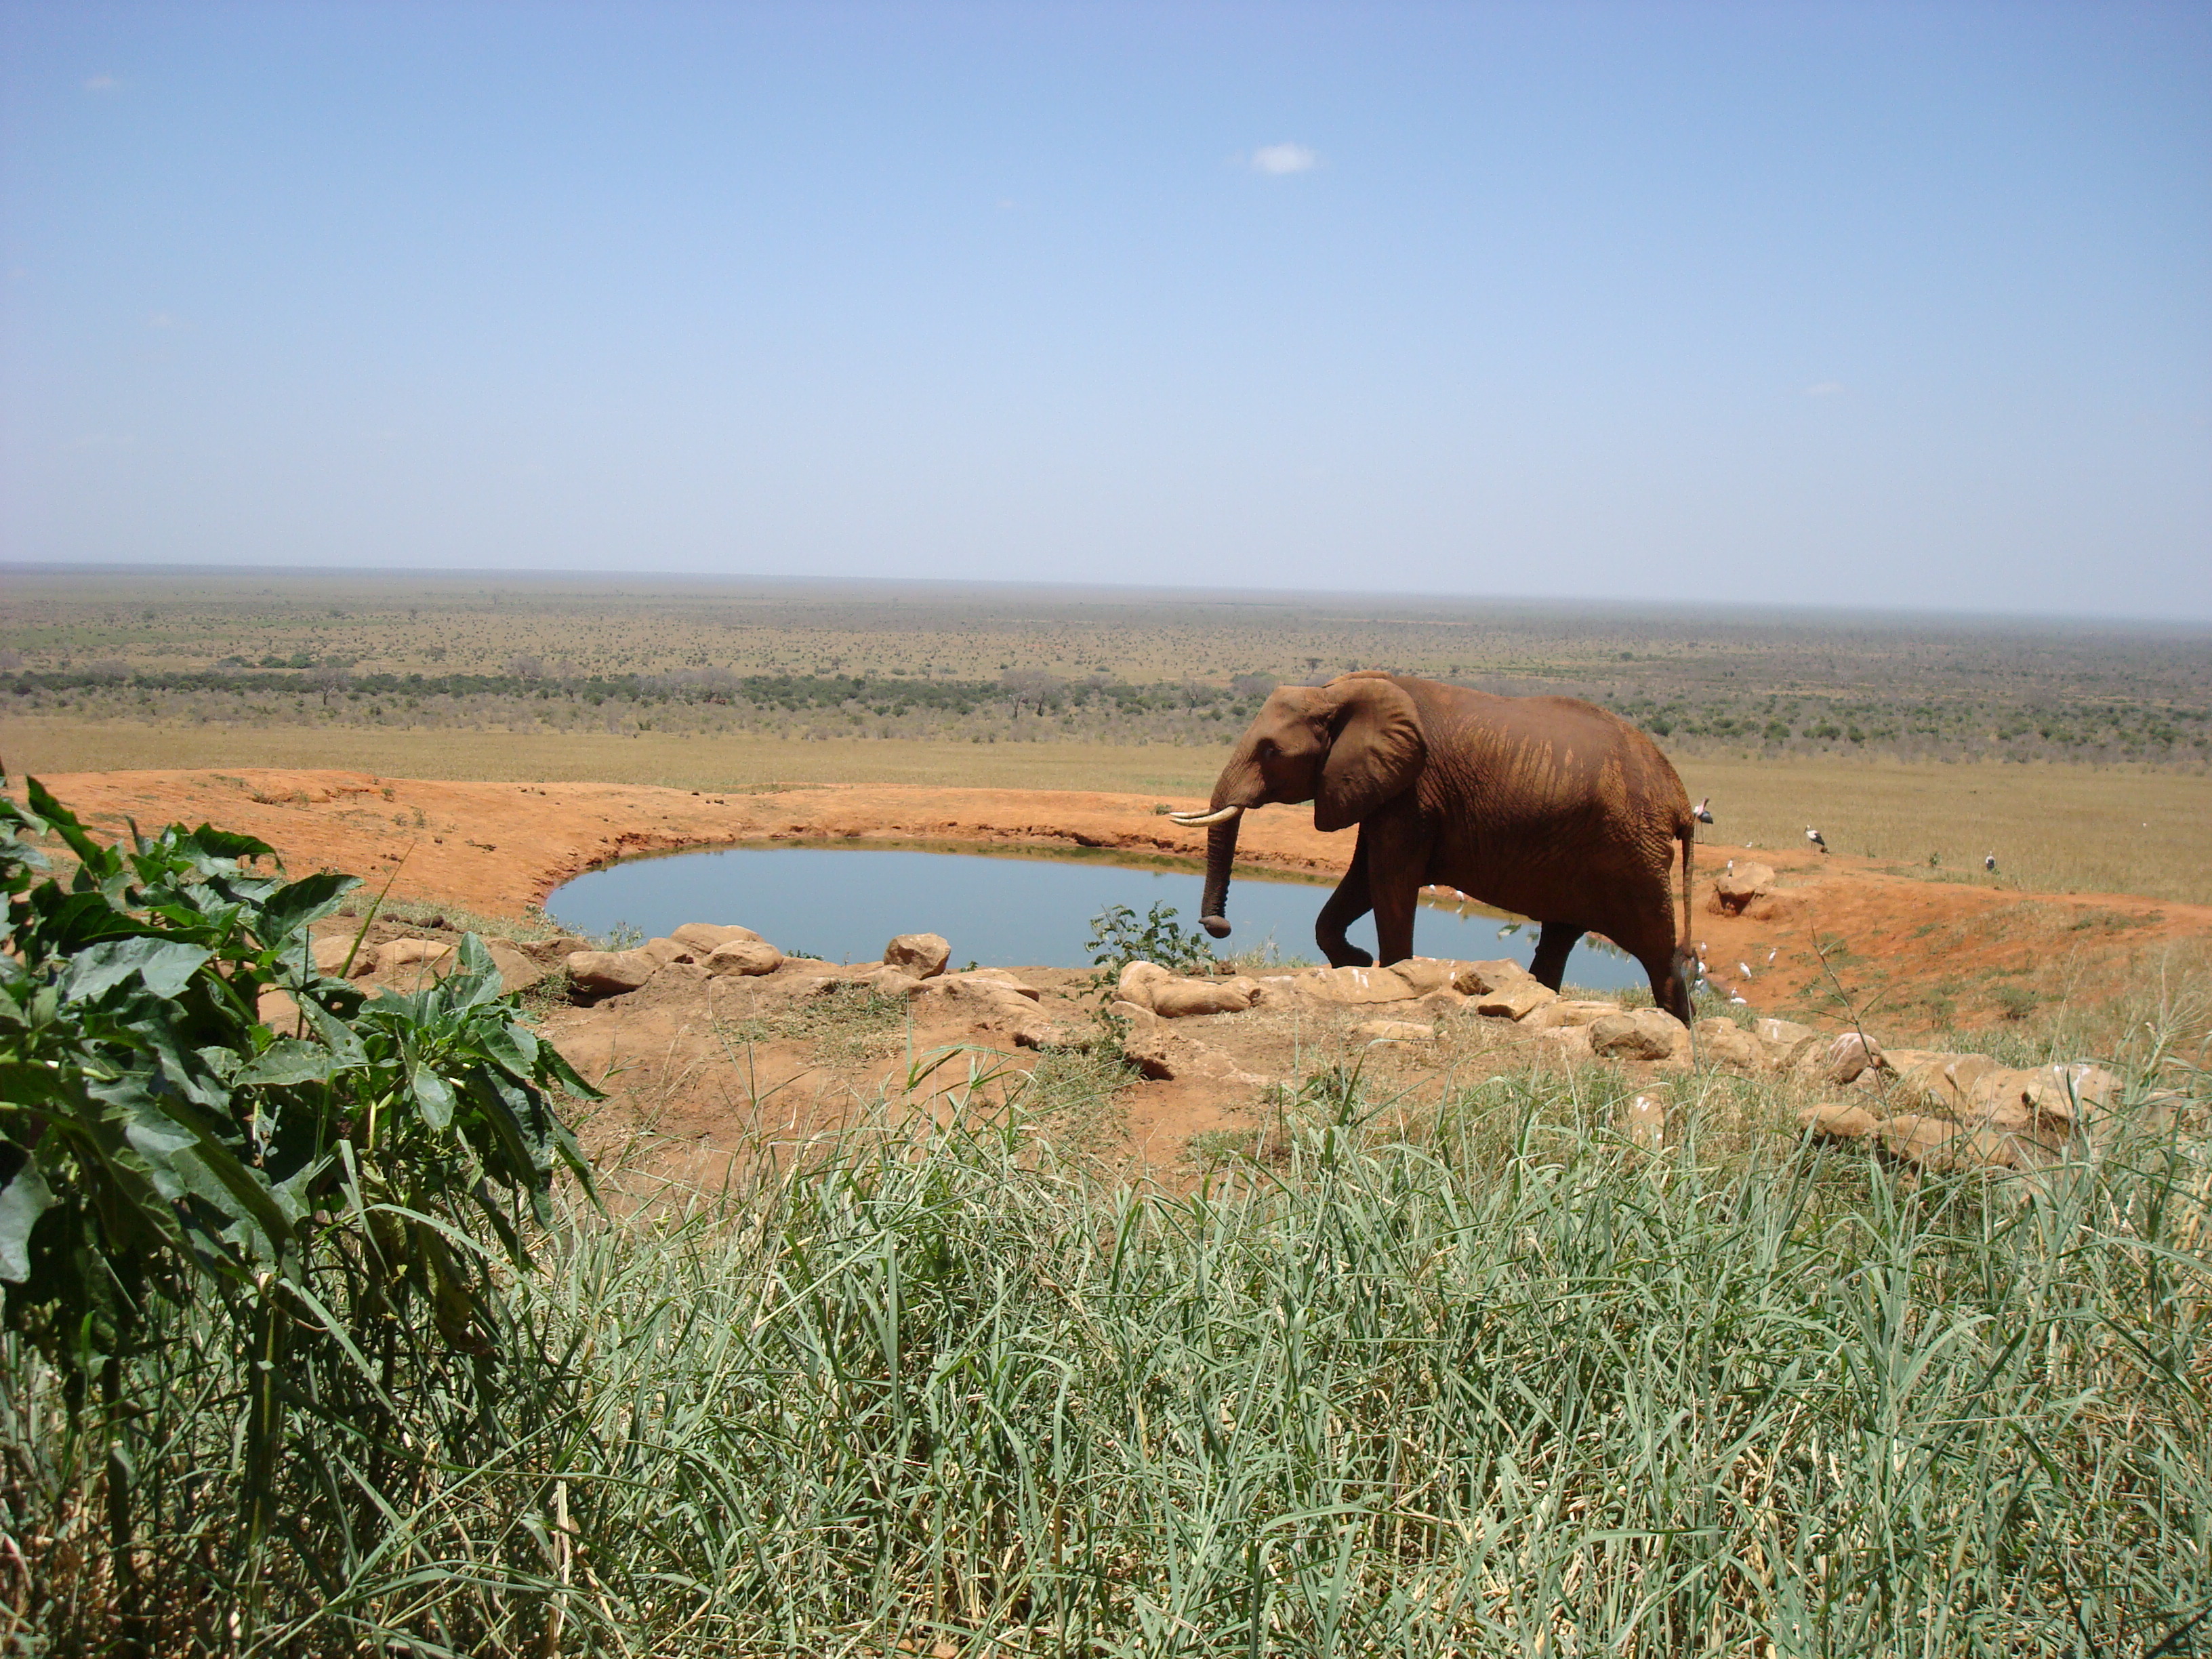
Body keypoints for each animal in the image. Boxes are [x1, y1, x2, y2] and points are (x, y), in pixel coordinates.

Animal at [1168, 668, 1698, 1021]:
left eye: (1271, 751)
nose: (1219, 926)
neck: (1337, 693)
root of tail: (1680, 798)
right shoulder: (1382, 787)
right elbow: (1361, 881)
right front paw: (1359, 962)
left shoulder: (1414, 793)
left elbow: (1389, 882)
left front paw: (1387, 973)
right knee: (1559, 936)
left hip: (1632, 852)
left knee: (1658, 952)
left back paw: (1680, 1031)